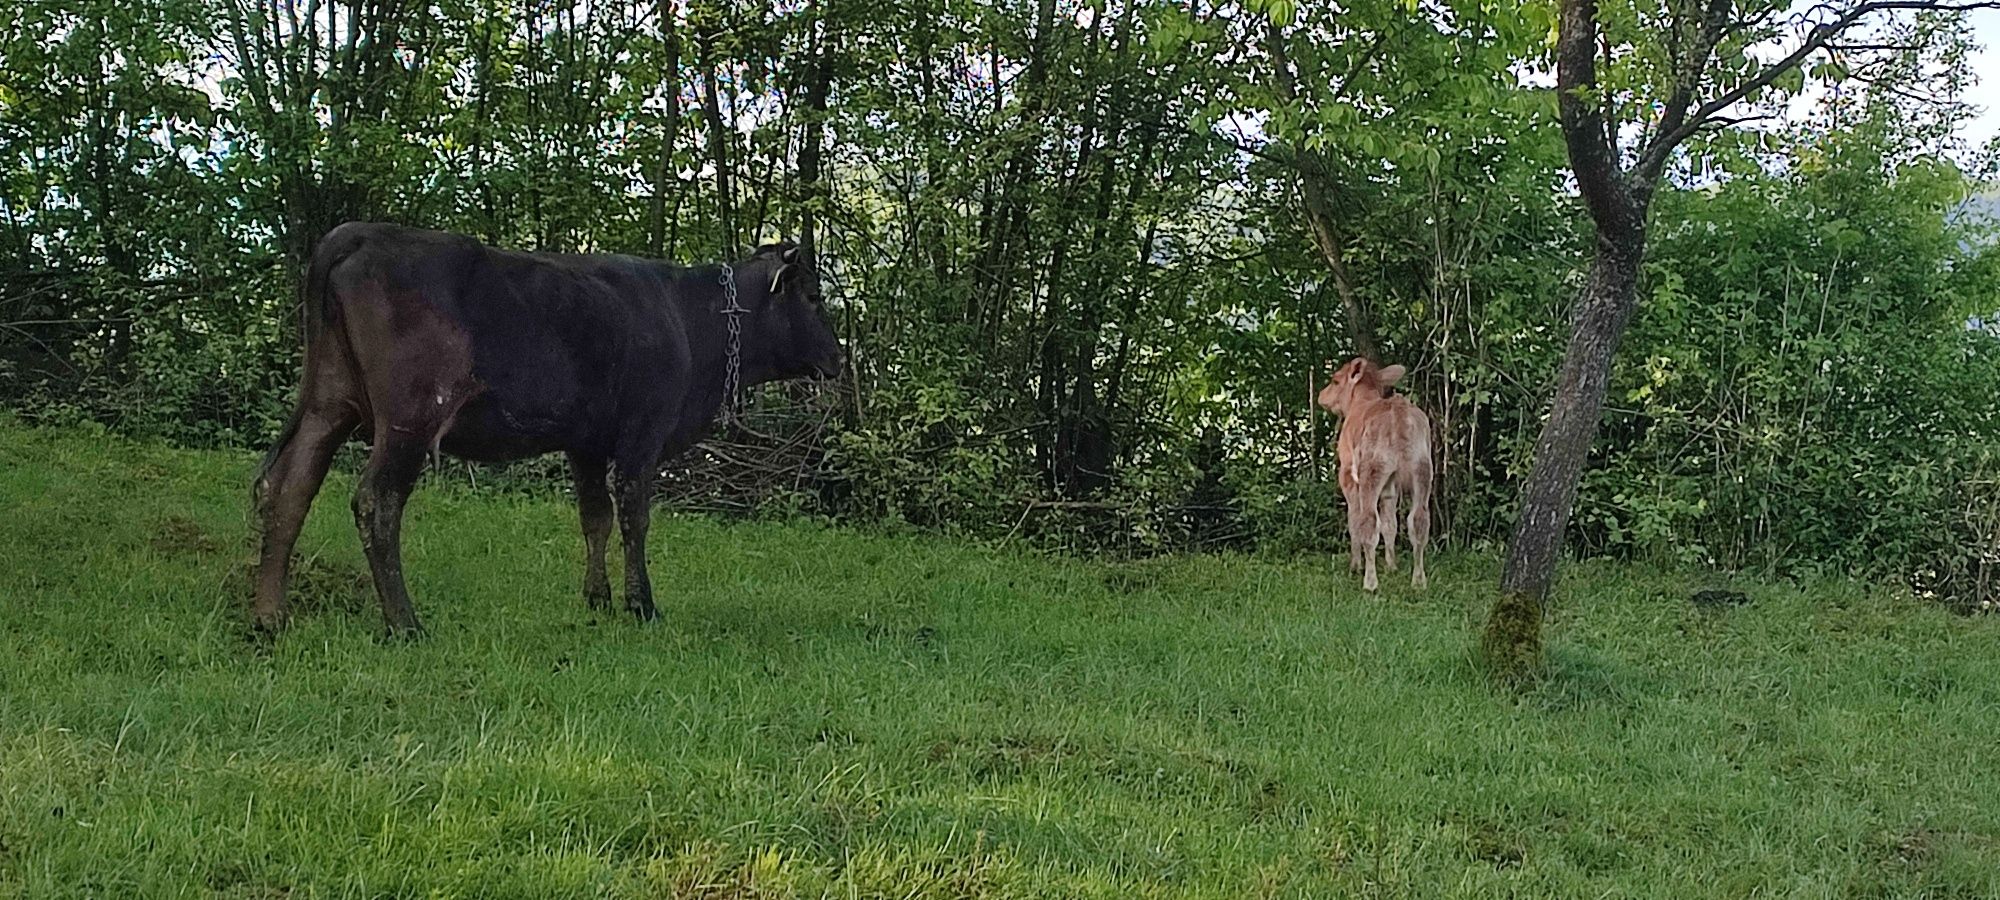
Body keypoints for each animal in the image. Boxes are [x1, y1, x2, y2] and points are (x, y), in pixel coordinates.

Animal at [252, 222, 844, 636]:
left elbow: (594, 518)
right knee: (376, 501)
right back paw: (405, 623)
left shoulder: (586, 442)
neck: (691, 320)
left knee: (290, 487)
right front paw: (642, 605)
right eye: (814, 297)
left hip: (328, 401)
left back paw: (269, 616)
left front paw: (597, 599)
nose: (838, 358)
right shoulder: (642, 434)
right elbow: (633, 518)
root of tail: (358, 231)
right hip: (409, 418)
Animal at [1320, 358, 1432, 592]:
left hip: (1371, 471)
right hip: (1422, 470)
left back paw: (1370, 583)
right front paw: (1392, 566)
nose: (1321, 396)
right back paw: (1418, 581)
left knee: (1369, 521)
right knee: (1418, 521)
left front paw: (1355, 566)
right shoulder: (1391, 486)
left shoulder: (1347, 475)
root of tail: (1399, 414)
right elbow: (1390, 524)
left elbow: (1353, 520)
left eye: (1335, 380)